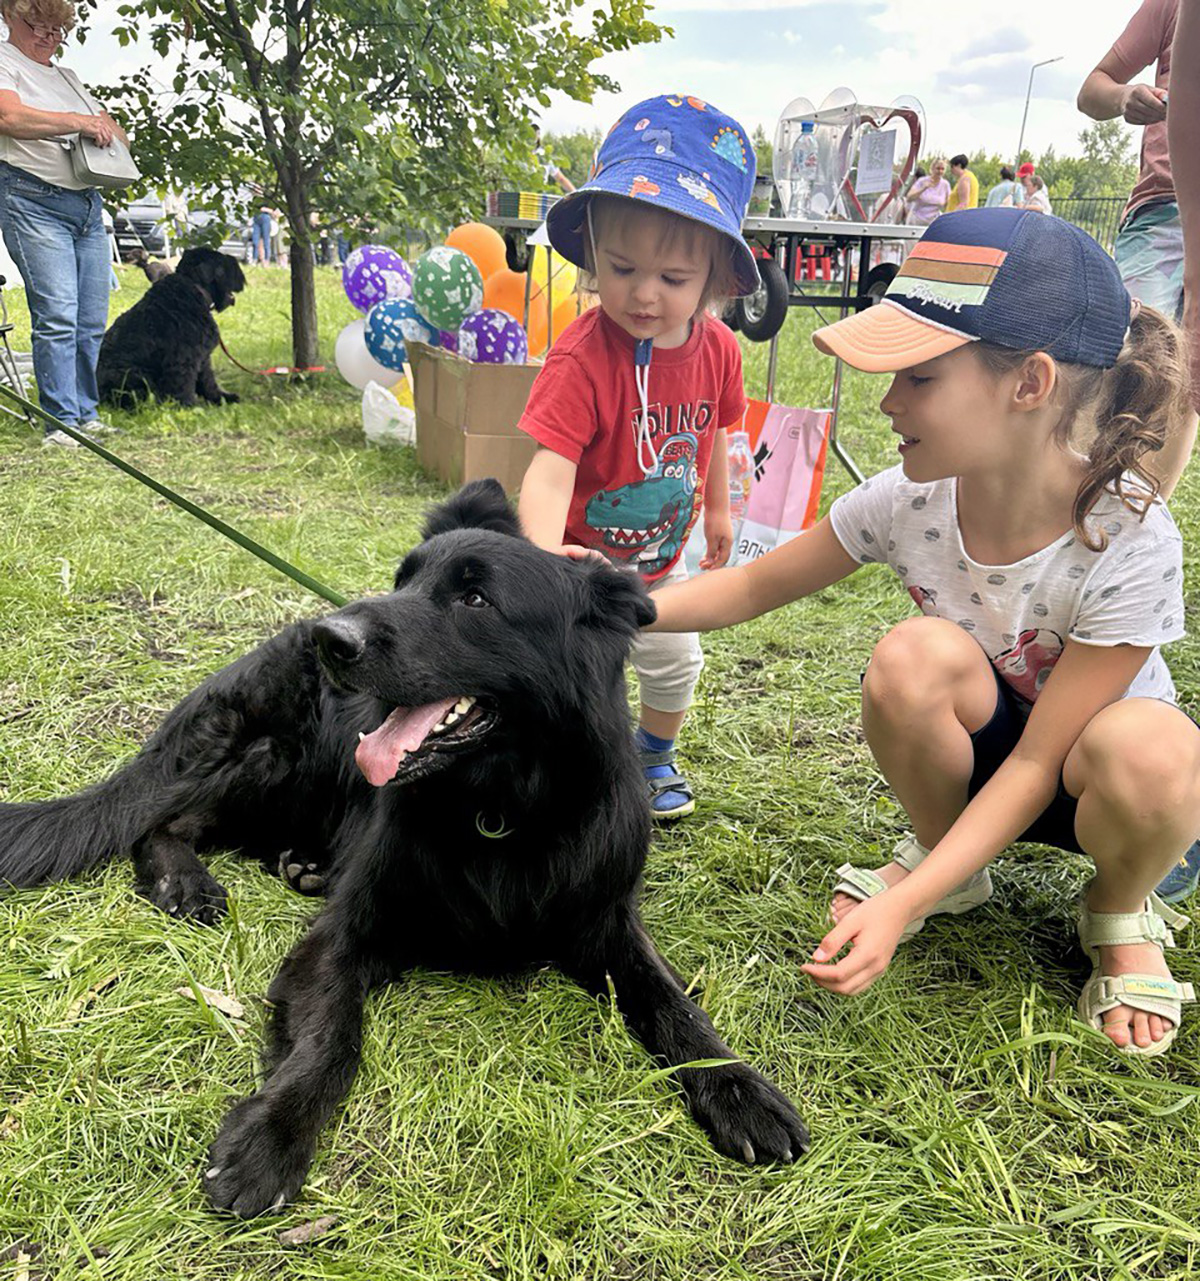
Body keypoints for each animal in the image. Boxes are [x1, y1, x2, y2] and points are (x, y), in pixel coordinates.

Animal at [0, 481, 809, 1219]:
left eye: (475, 599)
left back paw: (302, 864)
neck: (498, 808)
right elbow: (332, 1037)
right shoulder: (342, 938)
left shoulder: (607, 923)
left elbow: (676, 1004)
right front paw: (272, 1135)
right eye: (403, 580)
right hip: (284, 761)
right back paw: (186, 883)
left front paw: (741, 1088)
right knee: (167, 819)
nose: (333, 638)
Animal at [98, 247, 248, 407]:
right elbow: (183, 385)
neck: (193, 289)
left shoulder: (202, 356)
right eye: (222, 263)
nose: (242, 276)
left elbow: (208, 381)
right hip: (133, 375)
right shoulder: (183, 359)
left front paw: (221, 397)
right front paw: (187, 406)